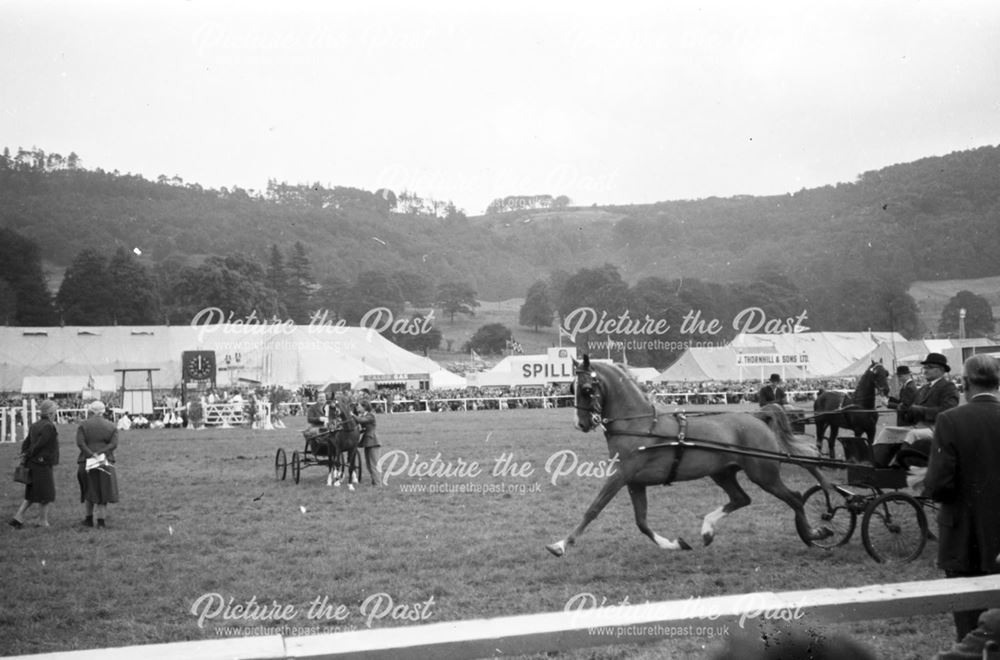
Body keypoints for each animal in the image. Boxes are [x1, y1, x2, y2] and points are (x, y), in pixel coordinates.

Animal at [548, 356, 836, 556]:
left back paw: (814, 533)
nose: (581, 424)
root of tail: (758, 417)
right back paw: (707, 531)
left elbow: (594, 508)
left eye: (587, 389)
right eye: (571, 387)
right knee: (741, 498)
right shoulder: (635, 482)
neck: (640, 425)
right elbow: (641, 522)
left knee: (795, 498)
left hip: (763, 473)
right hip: (723, 473)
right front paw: (675, 544)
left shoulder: (621, 475)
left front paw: (560, 544)